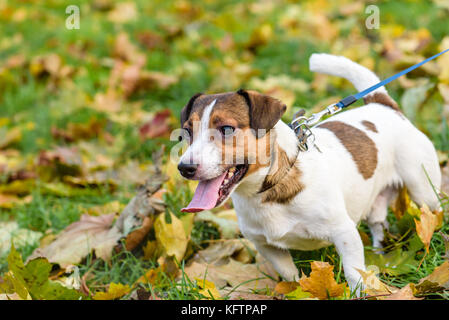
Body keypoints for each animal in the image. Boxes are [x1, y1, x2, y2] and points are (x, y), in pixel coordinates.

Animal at [176, 53, 440, 294]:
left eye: (227, 129)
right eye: (187, 132)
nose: (184, 167)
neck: (271, 188)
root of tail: (382, 105)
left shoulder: (344, 232)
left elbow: (354, 274)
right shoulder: (266, 246)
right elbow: (289, 274)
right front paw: (296, 289)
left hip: (423, 190)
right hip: (376, 203)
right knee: (378, 226)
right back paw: (380, 255)